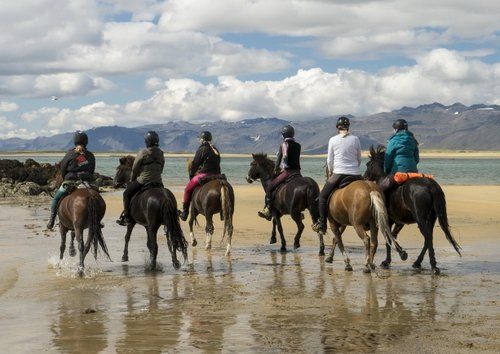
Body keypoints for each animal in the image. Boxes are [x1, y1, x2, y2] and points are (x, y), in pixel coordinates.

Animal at [362, 145, 462, 274]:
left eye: (368, 164)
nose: (364, 177)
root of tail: (431, 186)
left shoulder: (389, 220)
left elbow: (389, 237)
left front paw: (393, 258)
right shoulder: (399, 222)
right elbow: (393, 235)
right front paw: (397, 256)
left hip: (420, 219)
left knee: (427, 237)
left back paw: (433, 266)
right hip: (431, 218)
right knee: (428, 238)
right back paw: (418, 262)